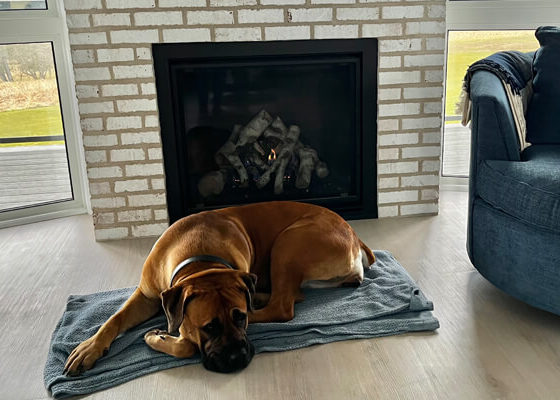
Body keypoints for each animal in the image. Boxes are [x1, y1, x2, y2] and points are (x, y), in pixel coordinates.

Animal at [63, 203, 374, 376]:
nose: (238, 358)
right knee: (289, 296)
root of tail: (354, 236)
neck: (200, 260)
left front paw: (159, 337)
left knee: (283, 305)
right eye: (209, 327)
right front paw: (90, 347)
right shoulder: (147, 295)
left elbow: (185, 345)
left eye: (240, 318)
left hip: (289, 242)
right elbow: (114, 319)